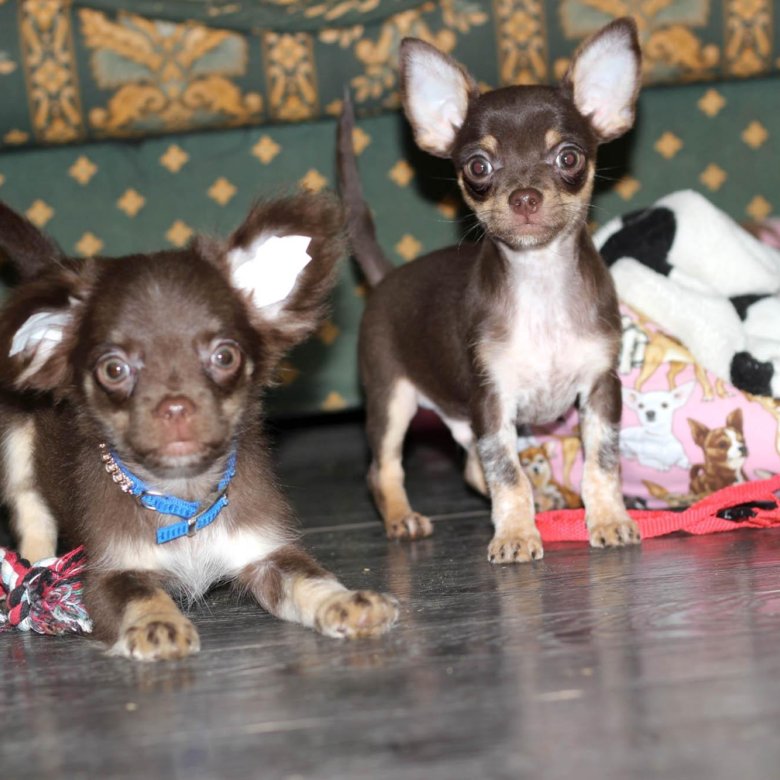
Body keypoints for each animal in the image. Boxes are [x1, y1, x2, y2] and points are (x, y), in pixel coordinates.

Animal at [0, 194, 398, 660]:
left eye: (225, 356)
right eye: (114, 369)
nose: (176, 406)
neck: (183, 498)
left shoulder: (266, 552)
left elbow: (310, 579)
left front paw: (346, 601)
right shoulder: (110, 574)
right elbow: (141, 595)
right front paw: (157, 625)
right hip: (15, 448)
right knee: (31, 508)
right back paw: (34, 573)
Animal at [338, 18, 643, 562]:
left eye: (568, 157)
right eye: (478, 167)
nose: (524, 197)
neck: (540, 282)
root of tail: (387, 275)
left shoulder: (600, 390)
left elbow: (602, 462)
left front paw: (609, 519)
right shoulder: (492, 401)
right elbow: (507, 475)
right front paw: (517, 534)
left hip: (460, 416)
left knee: (468, 465)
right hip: (392, 399)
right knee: (383, 467)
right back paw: (401, 518)